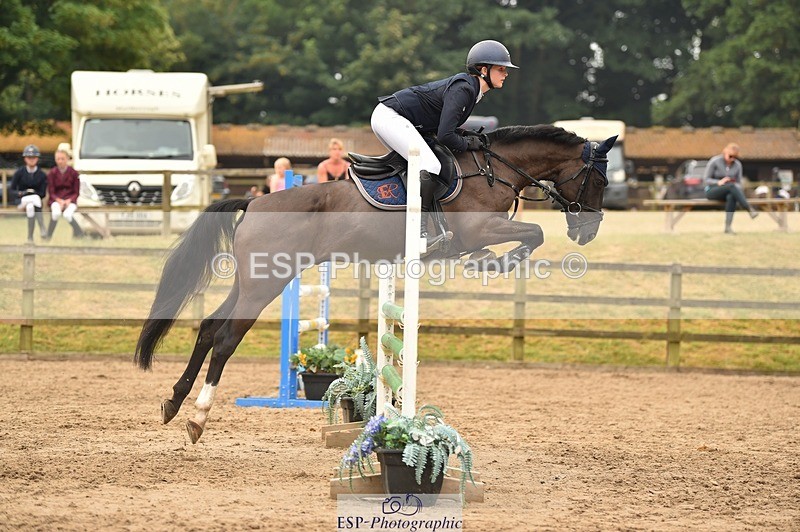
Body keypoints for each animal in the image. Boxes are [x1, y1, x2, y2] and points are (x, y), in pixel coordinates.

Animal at [135, 124, 615, 443]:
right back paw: (197, 418)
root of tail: (253, 203)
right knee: (226, 338)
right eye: (599, 179)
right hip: (264, 284)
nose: (588, 232)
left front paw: (492, 262)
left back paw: (173, 403)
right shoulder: (480, 228)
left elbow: (532, 233)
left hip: (251, 281)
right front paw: (497, 263)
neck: (494, 168)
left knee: (208, 328)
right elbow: (534, 232)